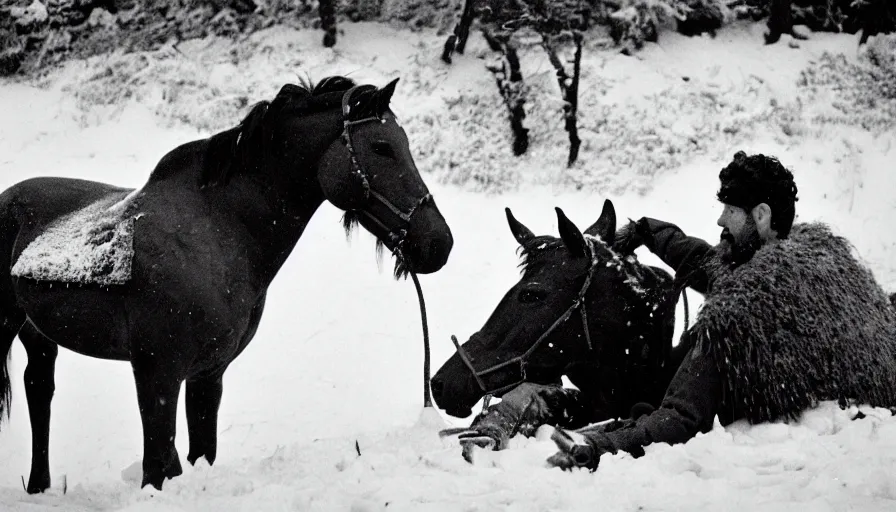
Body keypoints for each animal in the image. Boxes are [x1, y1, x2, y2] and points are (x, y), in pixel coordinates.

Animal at [0, 75, 456, 492]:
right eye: (382, 147)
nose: (439, 243)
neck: (214, 234)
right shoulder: (156, 373)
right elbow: (158, 465)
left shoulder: (208, 375)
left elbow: (199, 454)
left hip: (38, 336)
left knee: (38, 392)